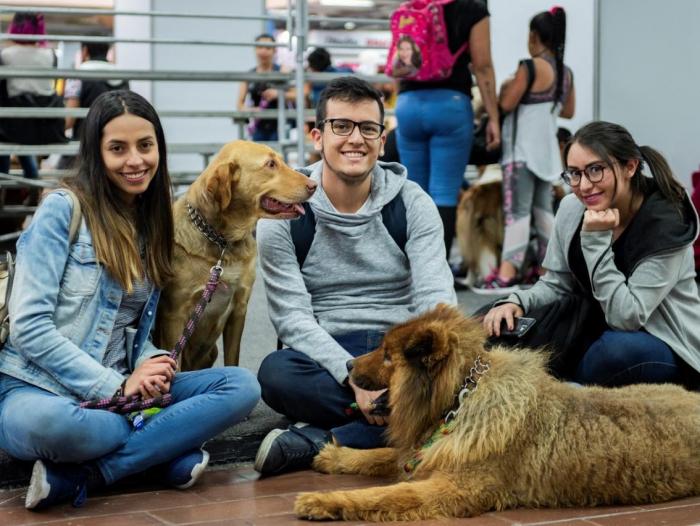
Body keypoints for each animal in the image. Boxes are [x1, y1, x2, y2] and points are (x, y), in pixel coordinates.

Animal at [157, 140, 318, 372]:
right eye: (270, 164)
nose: (314, 185)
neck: (222, 241)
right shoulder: (174, 316)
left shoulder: (239, 309)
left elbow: (233, 359)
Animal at [296, 306, 700, 524]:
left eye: (386, 356)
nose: (347, 365)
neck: (460, 398)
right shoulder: (426, 453)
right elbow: (380, 455)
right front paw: (336, 456)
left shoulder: (450, 489)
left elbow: (380, 497)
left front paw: (323, 501)